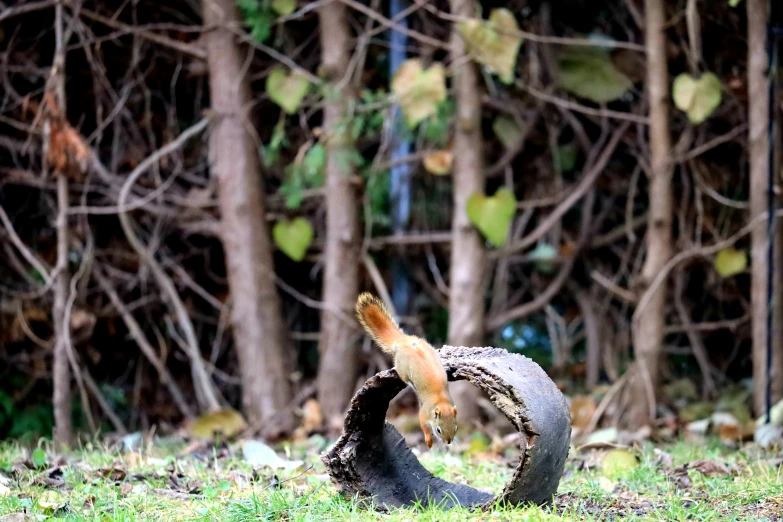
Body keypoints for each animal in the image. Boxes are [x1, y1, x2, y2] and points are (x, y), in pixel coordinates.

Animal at [356, 290, 460, 444]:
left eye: (456, 427)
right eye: (438, 430)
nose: (448, 441)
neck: (441, 401)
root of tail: (404, 341)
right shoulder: (424, 413)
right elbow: (423, 424)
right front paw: (428, 440)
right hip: (402, 369)